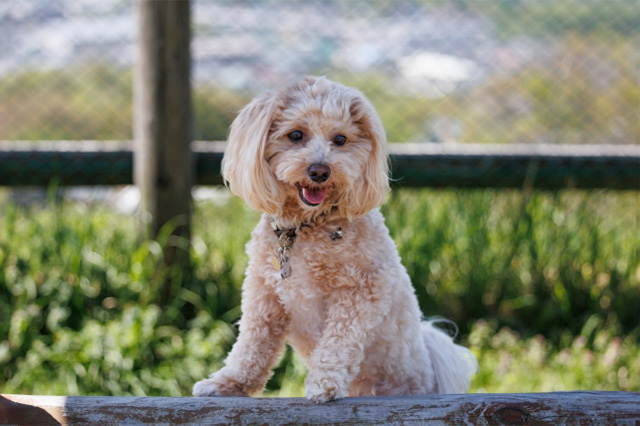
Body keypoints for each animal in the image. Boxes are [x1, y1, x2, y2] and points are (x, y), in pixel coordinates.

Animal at [192, 75, 478, 402]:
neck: (306, 228)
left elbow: (339, 342)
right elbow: (252, 344)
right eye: (295, 135)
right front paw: (227, 383)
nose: (320, 171)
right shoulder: (264, 295)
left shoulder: (362, 291)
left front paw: (325, 383)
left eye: (340, 140)